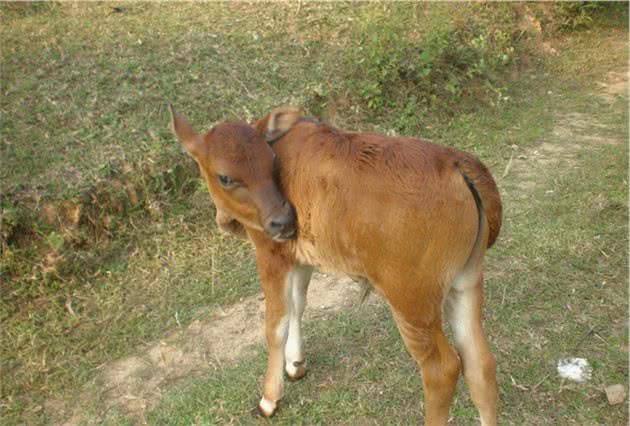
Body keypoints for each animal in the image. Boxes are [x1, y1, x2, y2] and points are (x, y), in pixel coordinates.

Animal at [169, 105, 504, 424]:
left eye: (272, 162)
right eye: (225, 177)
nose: (283, 221)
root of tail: (457, 162)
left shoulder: (271, 253)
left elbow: (275, 325)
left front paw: (269, 398)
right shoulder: (300, 258)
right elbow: (297, 305)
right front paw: (295, 363)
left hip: (412, 302)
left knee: (442, 369)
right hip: (466, 282)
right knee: (480, 364)